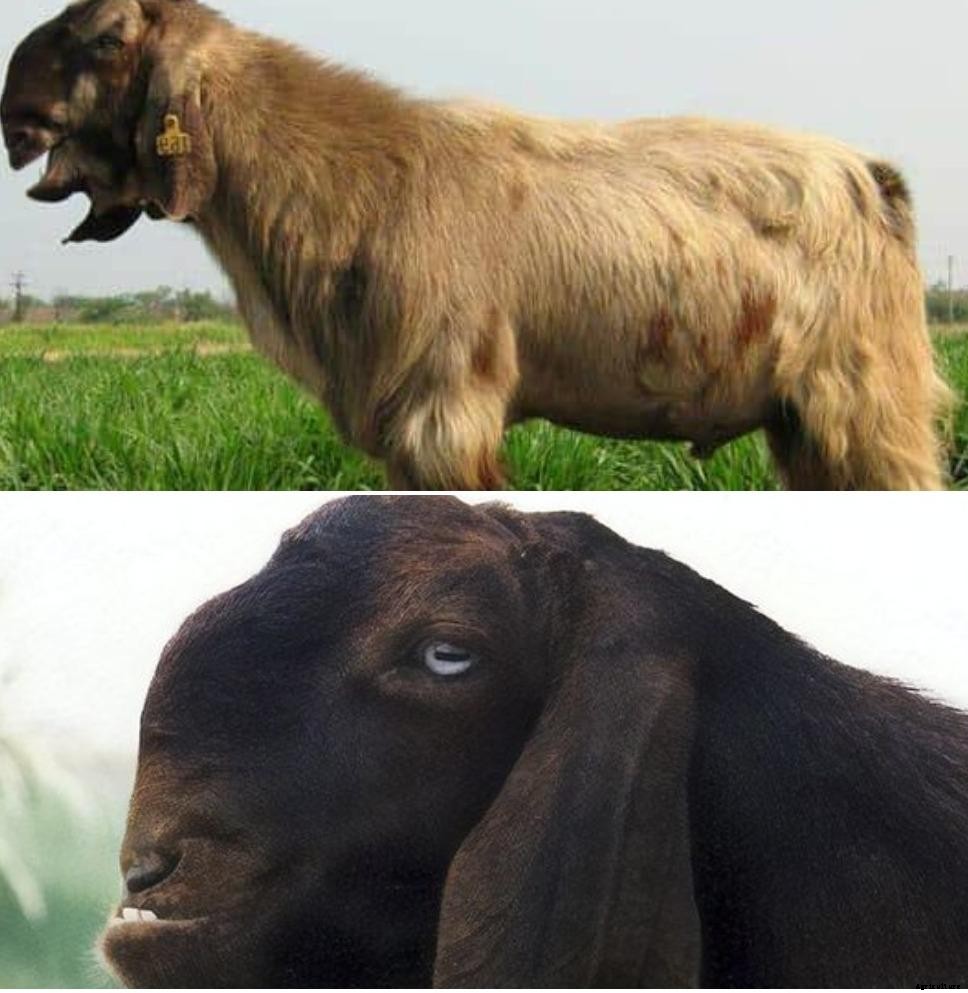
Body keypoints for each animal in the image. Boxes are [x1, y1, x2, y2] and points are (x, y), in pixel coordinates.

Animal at [2, 1, 954, 489]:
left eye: (105, 36)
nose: (15, 110)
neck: (351, 177)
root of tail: (875, 177)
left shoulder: (443, 408)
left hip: (870, 407)